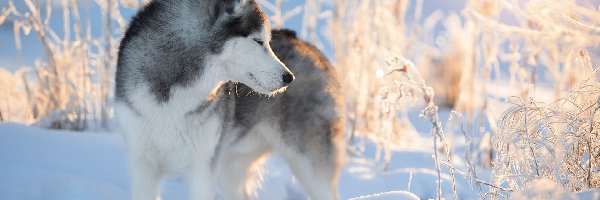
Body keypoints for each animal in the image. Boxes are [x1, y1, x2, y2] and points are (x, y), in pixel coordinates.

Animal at [114, 0, 344, 199]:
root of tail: (309, 48)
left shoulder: (202, 172)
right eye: (258, 41)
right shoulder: (142, 167)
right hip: (231, 168)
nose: (289, 78)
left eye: (268, 42)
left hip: (311, 168)